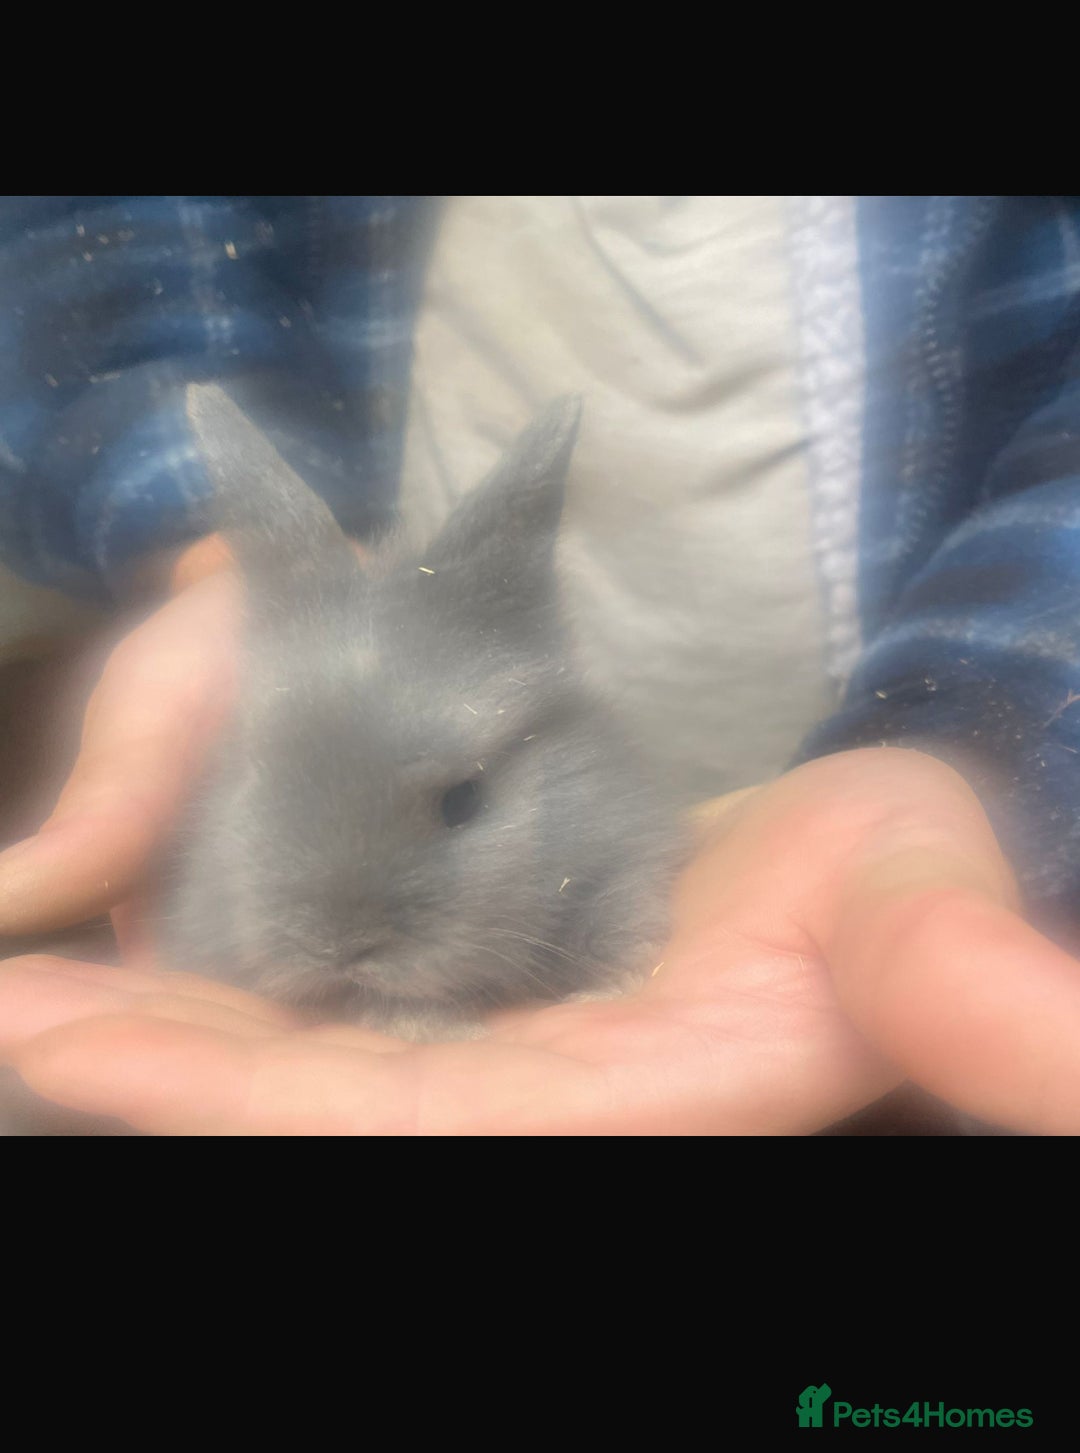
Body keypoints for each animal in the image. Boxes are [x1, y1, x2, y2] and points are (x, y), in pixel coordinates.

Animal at [152, 383, 692, 1040]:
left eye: (463, 800)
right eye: (257, 780)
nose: (341, 946)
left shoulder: (625, 850)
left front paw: (608, 989)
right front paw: (429, 1025)